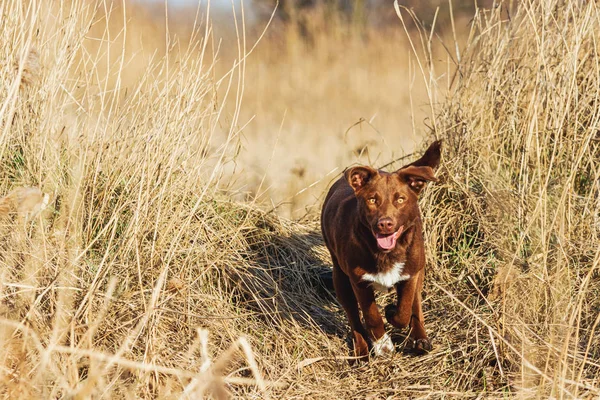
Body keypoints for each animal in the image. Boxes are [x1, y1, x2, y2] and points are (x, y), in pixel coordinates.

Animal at [322, 141, 442, 360]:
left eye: (400, 199)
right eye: (372, 200)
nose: (385, 223)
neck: (386, 253)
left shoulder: (410, 275)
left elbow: (404, 311)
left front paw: (391, 311)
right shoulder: (359, 282)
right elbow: (372, 316)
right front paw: (383, 344)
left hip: (419, 268)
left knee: (416, 306)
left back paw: (421, 340)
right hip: (340, 278)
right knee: (353, 317)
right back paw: (361, 351)